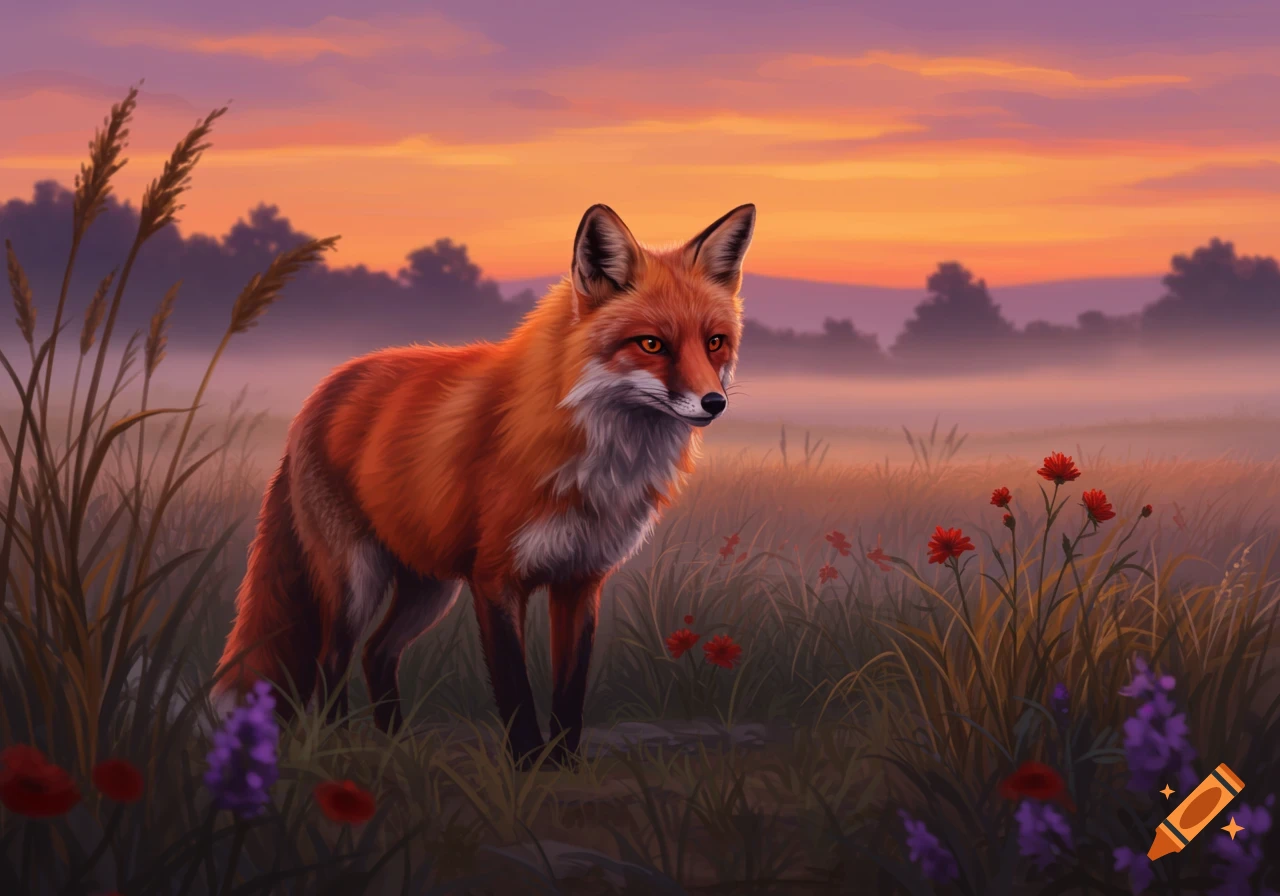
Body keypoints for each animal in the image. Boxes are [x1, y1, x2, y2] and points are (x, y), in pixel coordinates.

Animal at [212, 202, 756, 764]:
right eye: (652, 344)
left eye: (714, 343)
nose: (715, 403)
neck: (597, 462)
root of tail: (319, 391)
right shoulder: (495, 579)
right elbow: (515, 688)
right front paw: (528, 766)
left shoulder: (581, 579)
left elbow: (570, 691)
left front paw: (563, 764)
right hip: (355, 581)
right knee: (331, 658)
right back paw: (339, 746)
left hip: (429, 588)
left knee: (377, 652)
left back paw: (395, 748)